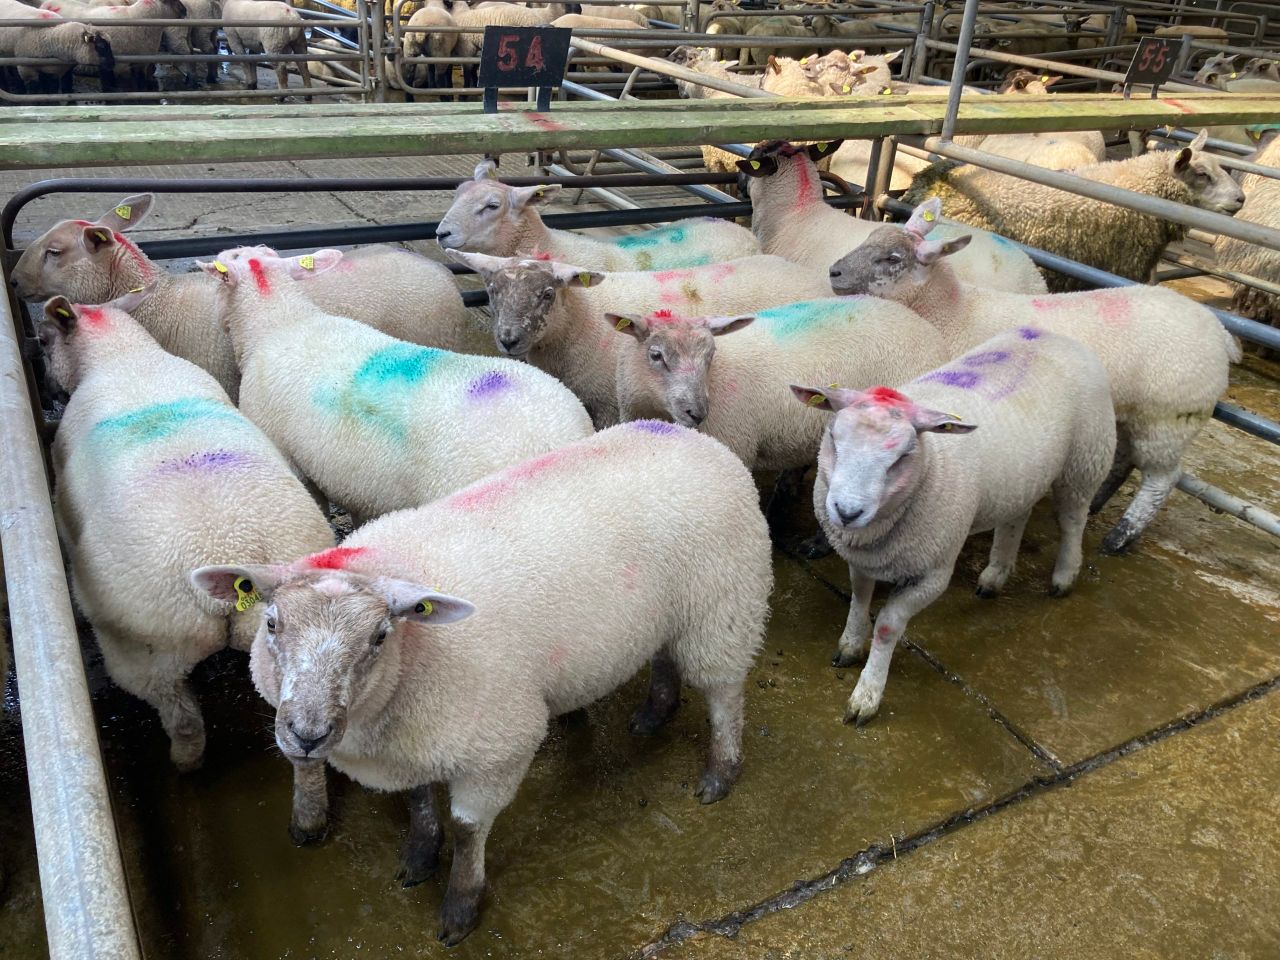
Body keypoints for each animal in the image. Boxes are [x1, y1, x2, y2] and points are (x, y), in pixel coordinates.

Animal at [39, 289, 334, 771]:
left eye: (45, 341)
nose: (47, 391)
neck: (124, 356)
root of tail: (229, 560)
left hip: (145, 652)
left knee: (183, 722)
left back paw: (185, 763)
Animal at [189, 419, 772, 942]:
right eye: (270, 623)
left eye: (380, 635)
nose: (306, 736)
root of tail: (692, 436)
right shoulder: (414, 742)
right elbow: (420, 800)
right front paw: (420, 854)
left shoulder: (498, 745)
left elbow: (470, 830)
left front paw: (460, 905)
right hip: (671, 611)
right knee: (666, 657)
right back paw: (654, 713)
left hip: (723, 603)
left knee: (724, 691)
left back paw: (720, 772)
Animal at [793, 329, 1115, 724]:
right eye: (834, 438)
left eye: (903, 456)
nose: (847, 512)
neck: (931, 463)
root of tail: (1056, 335)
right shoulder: (864, 557)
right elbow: (859, 597)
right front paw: (850, 645)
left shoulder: (933, 572)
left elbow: (886, 625)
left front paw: (867, 694)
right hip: (1021, 479)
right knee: (1016, 518)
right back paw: (996, 574)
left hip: (1085, 459)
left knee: (1073, 520)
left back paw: (1064, 576)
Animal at [827, 198, 1241, 554]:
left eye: (891, 258)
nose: (834, 271)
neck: (955, 312)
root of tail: (1219, 331)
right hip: (1135, 413)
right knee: (1126, 458)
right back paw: (1098, 503)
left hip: (1170, 417)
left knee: (1162, 478)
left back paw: (1121, 536)